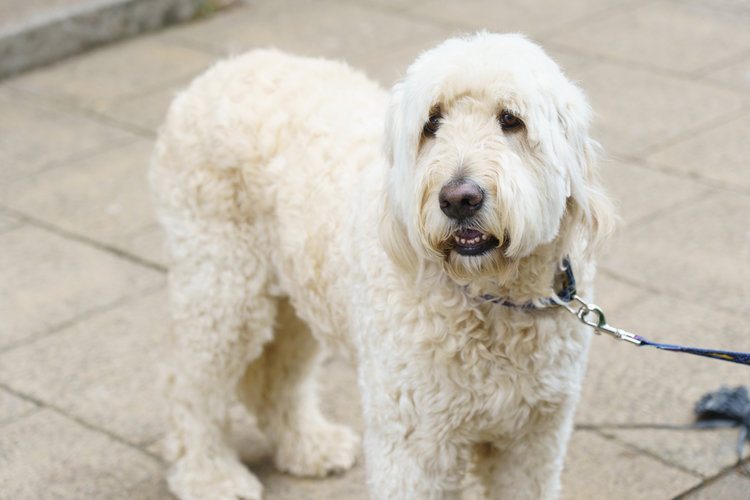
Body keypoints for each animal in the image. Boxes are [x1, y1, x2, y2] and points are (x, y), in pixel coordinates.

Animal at [148, 32, 616, 500]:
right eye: (431, 123)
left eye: (510, 120)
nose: (459, 198)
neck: (490, 298)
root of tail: (221, 70)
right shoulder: (414, 445)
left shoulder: (533, 441)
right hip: (222, 289)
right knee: (188, 386)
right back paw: (210, 475)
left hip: (298, 295)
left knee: (276, 378)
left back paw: (310, 445)